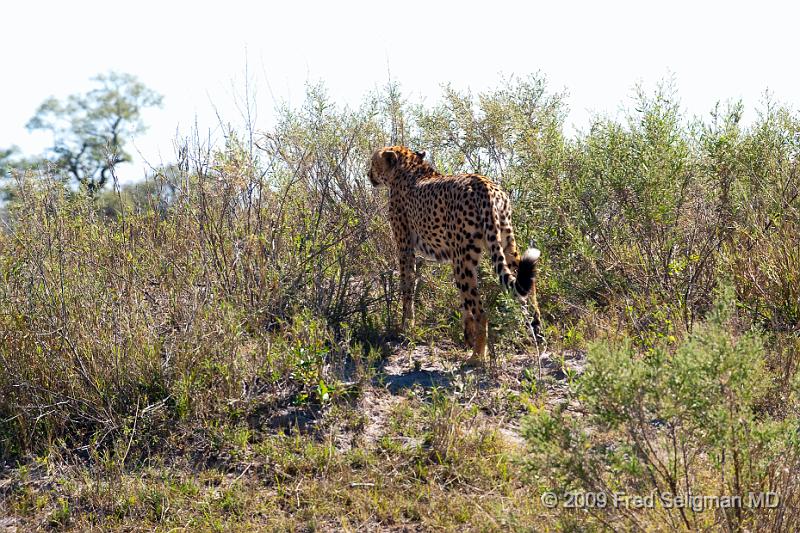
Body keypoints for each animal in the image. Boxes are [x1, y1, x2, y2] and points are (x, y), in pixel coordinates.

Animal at [368, 143, 544, 364]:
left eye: (373, 162)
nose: (368, 174)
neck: (409, 167)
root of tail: (483, 184)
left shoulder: (405, 246)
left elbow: (407, 285)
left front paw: (406, 327)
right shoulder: (453, 253)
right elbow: (462, 300)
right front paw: (467, 334)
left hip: (465, 258)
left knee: (482, 311)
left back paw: (477, 357)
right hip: (505, 242)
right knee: (528, 291)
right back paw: (538, 338)